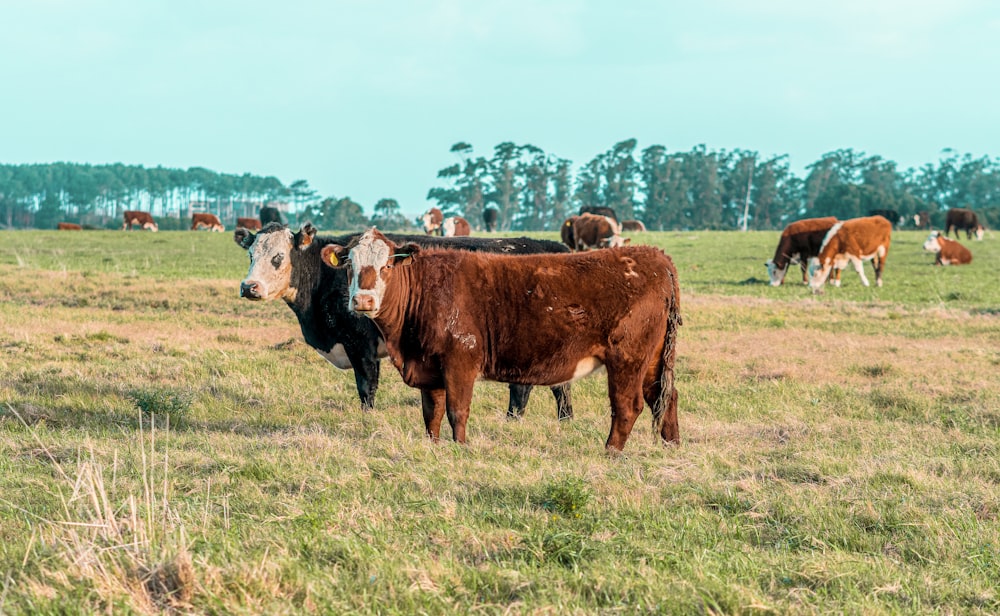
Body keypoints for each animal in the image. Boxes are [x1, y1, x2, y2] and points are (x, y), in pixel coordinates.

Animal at [234, 224, 576, 422]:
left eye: (278, 257)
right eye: (251, 254)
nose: (249, 287)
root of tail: (557, 248)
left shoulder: (361, 345)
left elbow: (366, 388)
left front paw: (367, 421)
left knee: (523, 388)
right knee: (560, 387)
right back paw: (565, 420)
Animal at [324, 229, 684, 450]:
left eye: (386, 265)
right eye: (350, 265)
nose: (363, 301)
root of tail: (655, 258)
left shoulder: (460, 360)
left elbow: (457, 410)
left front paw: (461, 448)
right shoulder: (429, 364)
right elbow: (431, 412)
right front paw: (433, 445)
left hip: (628, 357)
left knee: (628, 405)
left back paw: (610, 452)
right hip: (653, 359)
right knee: (665, 396)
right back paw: (671, 446)